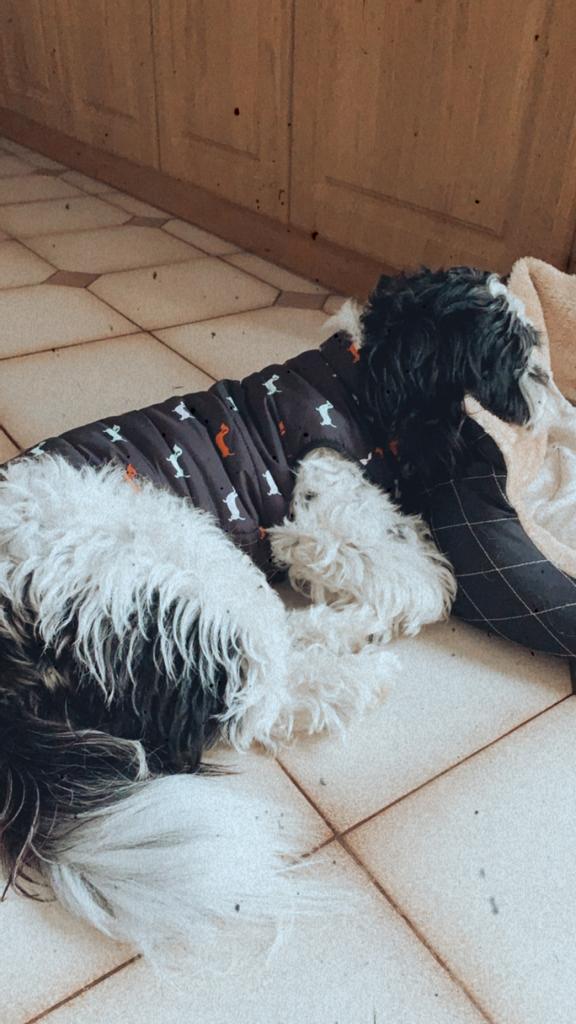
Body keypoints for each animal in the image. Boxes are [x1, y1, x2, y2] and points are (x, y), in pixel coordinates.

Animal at [0, 266, 543, 957]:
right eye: (513, 350)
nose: (547, 393)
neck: (359, 376)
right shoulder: (321, 520)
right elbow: (423, 581)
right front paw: (387, 609)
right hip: (185, 559)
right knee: (260, 697)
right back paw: (357, 675)